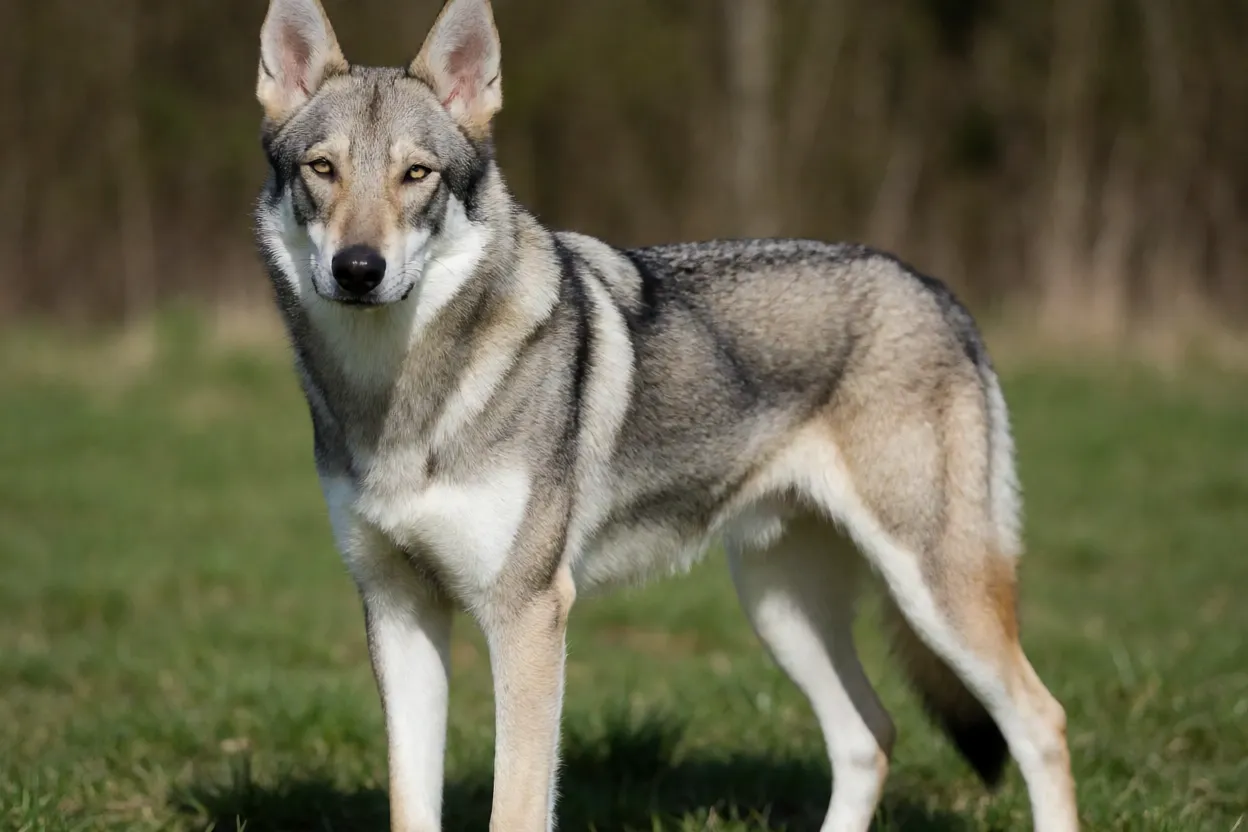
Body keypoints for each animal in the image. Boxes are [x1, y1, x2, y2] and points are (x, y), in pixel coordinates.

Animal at [251, 0, 1078, 829]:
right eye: (322, 169)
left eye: (416, 174)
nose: (359, 269)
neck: (397, 399)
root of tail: (933, 288)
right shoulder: (397, 611)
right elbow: (410, 805)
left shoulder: (527, 616)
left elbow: (515, 805)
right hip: (780, 605)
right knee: (869, 737)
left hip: (934, 592)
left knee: (1041, 721)